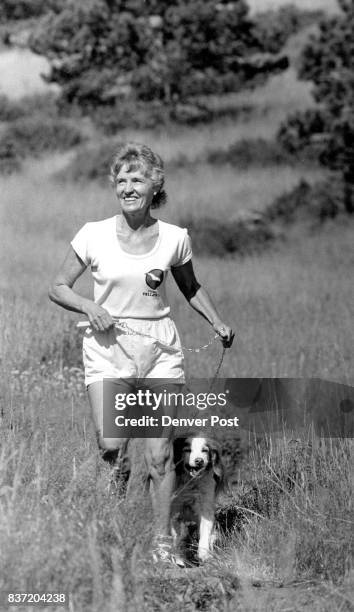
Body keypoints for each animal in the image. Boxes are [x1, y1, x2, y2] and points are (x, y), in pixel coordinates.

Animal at [172, 432, 227, 568]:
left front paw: (204, 555)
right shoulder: (174, 509)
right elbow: (177, 536)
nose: (199, 461)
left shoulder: (205, 507)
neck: (191, 483)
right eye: (187, 450)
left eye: (204, 450)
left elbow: (205, 533)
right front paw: (179, 559)